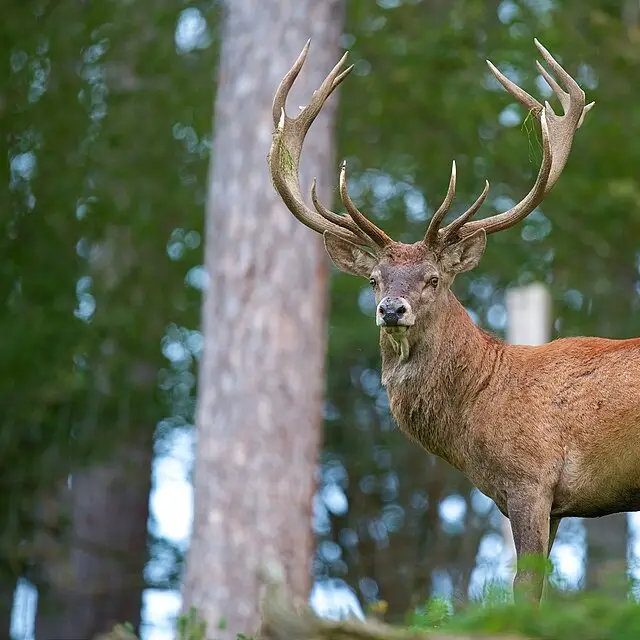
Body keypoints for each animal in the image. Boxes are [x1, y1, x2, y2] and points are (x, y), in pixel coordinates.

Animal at [267, 38, 640, 604]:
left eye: (433, 279)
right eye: (373, 279)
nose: (391, 309)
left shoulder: (531, 480)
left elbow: (526, 590)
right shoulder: (551, 502)